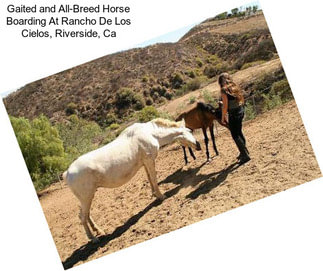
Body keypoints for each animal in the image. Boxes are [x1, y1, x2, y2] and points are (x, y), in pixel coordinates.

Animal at [62, 118, 201, 242]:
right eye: (190, 130)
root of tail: (67, 173)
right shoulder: (149, 160)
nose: (199, 145)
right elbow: (154, 177)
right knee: (82, 217)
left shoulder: (145, 163)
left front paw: (154, 194)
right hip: (86, 197)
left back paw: (99, 231)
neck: (150, 133)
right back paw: (93, 239)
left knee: (86, 214)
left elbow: (150, 178)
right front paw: (162, 196)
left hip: (87, 197)